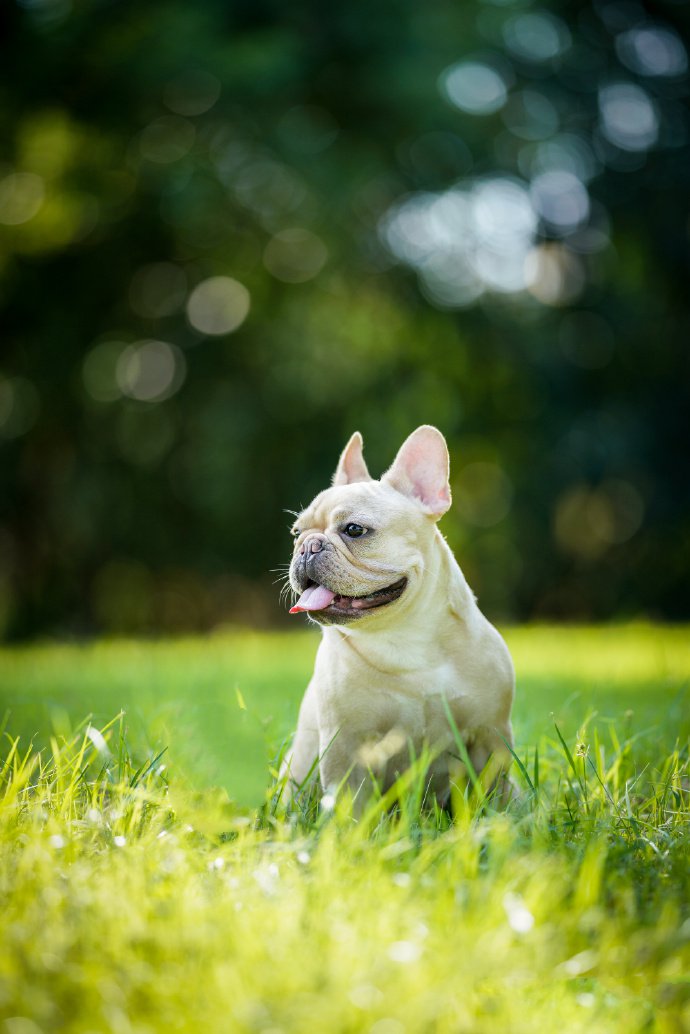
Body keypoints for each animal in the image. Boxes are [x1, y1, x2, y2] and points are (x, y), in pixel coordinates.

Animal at [283, 423, 515, 802]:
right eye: (296, 532)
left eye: (354, 530)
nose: (307, 546)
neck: (404, 634)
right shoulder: (346, 747)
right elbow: (351, 803)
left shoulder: (489, 735)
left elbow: (495, 795)